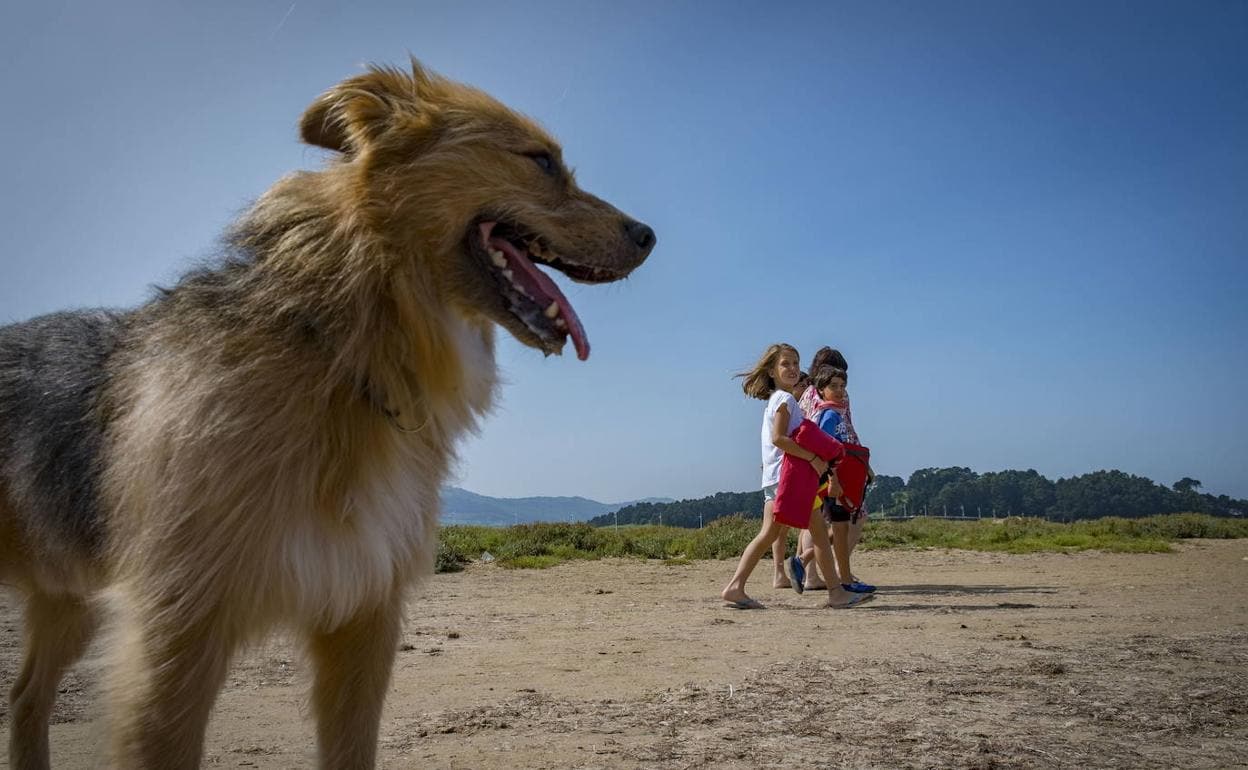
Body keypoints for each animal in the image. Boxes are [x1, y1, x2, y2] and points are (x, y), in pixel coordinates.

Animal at [0, 61, 658, 768]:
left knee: (26, 696)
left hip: (69, 597)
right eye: (541, 161)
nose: (650, 236)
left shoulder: (362, 621)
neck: (338, 352)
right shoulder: (174, 635)